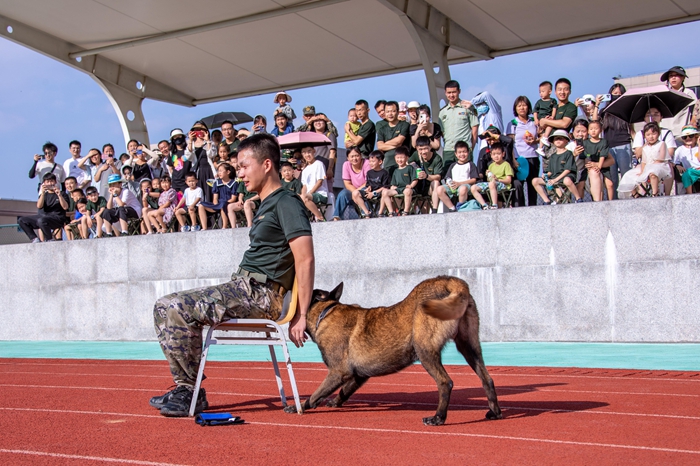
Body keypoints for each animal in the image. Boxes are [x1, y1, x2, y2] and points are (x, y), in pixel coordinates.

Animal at [284, 275, 502, 426]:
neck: (325, 311)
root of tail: (451, 283)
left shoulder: (338, 372)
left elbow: (316, 394)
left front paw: (300, 407)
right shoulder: (359, 375)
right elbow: (345, 390)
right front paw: (335, 402)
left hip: (424, 349)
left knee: (445, 382)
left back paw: (438, 417)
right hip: (469, 347)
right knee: (487, 379)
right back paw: (495, 412)